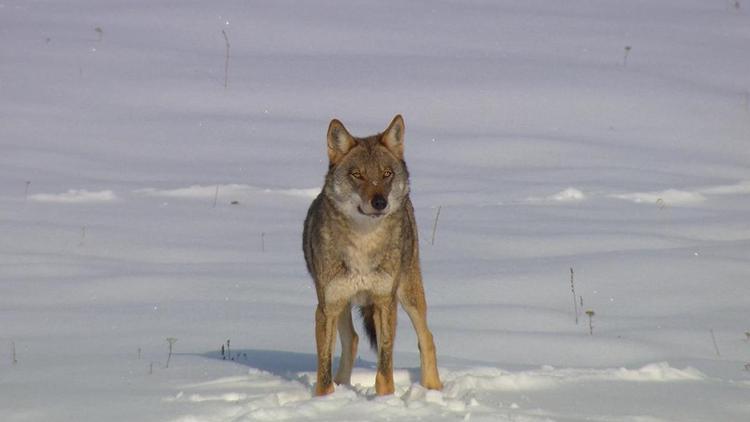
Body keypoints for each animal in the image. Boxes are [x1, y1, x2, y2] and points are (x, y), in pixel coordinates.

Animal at [302, 114, 440, 396]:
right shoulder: (327, 307)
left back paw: (433, 389)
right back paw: (343, 384)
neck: (363, 244)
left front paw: (385, 399)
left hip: (408, 295)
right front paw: (324, 399)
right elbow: (324, 369)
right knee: (352, 340)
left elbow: (385, 367)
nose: (379, 202)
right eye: (358, 175)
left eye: (386, 174)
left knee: (427, 337)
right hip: (342, 302)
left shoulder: (385, 302)